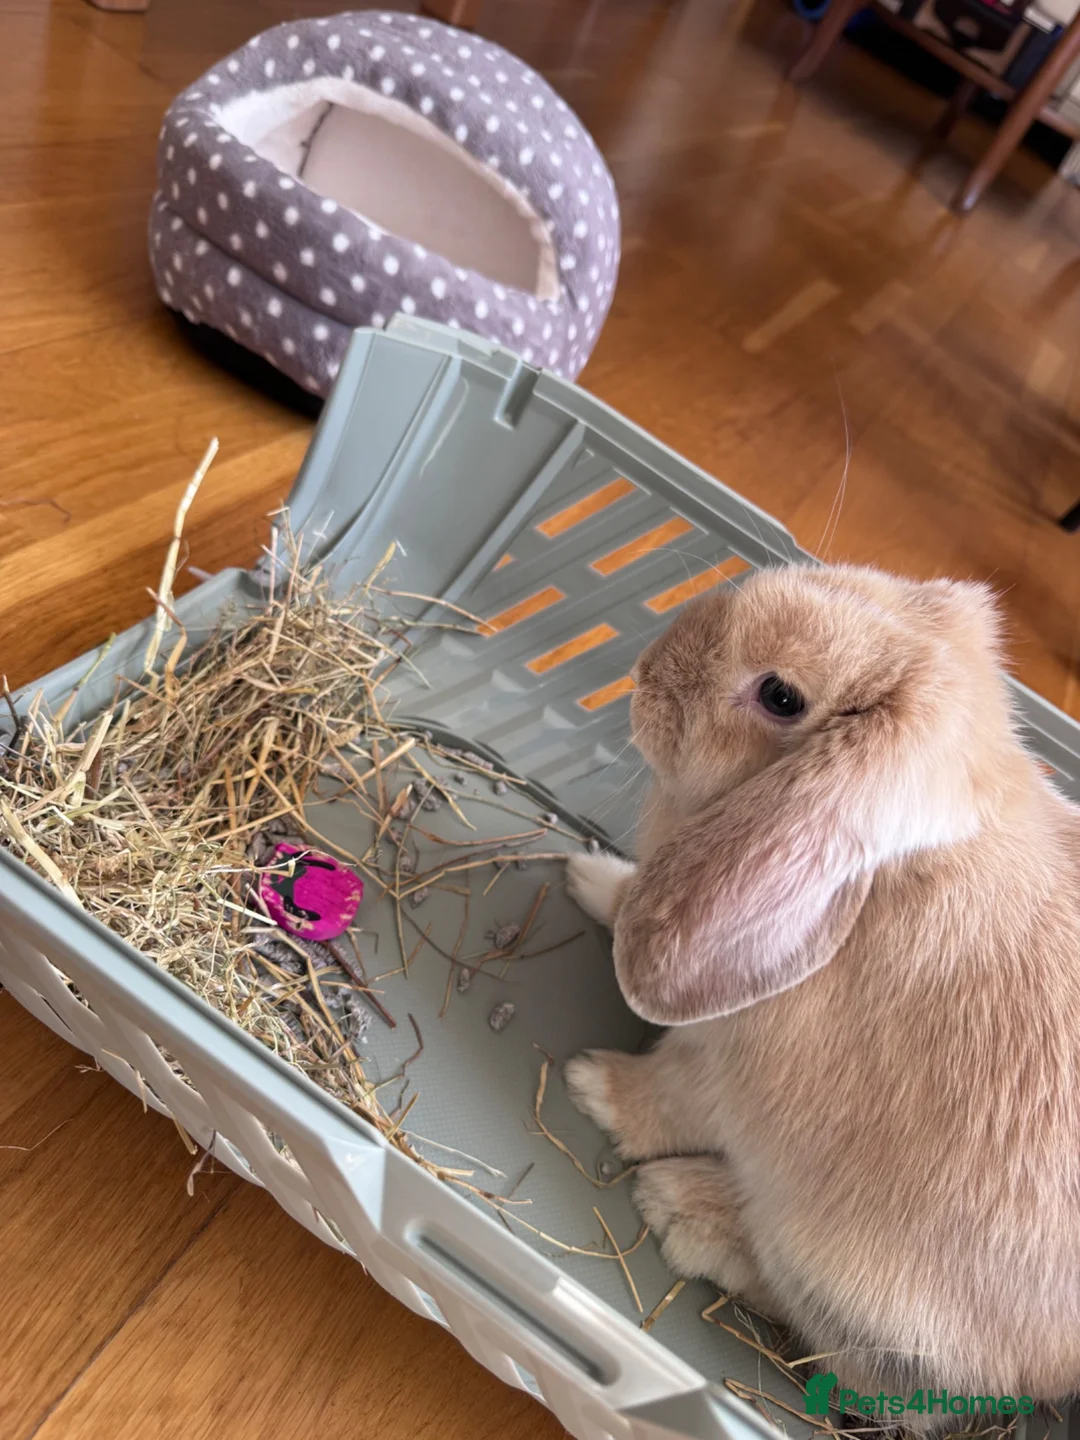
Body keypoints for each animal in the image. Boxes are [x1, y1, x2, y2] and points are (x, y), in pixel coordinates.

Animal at [563, 563, 1080, 1424]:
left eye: (780, 696)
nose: (642, 674)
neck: (870, 888)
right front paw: (590, 877)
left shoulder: (718, 1072)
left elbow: (664, 1099)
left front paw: (592, 1086)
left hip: (854, 1286)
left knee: (871, 1378)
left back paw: (682, 1210)